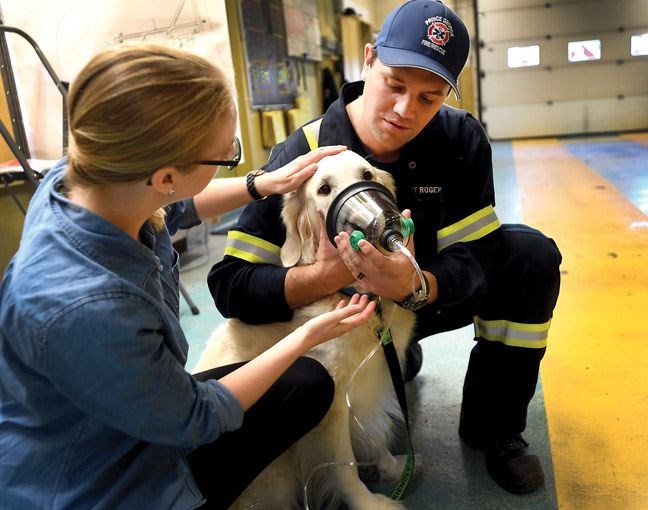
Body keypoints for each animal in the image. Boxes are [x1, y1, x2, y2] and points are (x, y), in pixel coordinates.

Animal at [194, 151, 416, 510]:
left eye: (366, 175)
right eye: (324, 189)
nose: (386, 223)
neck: (346, 291)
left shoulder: (373, 376)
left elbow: (374, 433)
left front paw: (391, 467)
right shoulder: (334, 404)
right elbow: (344, 466)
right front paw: (367, 502)